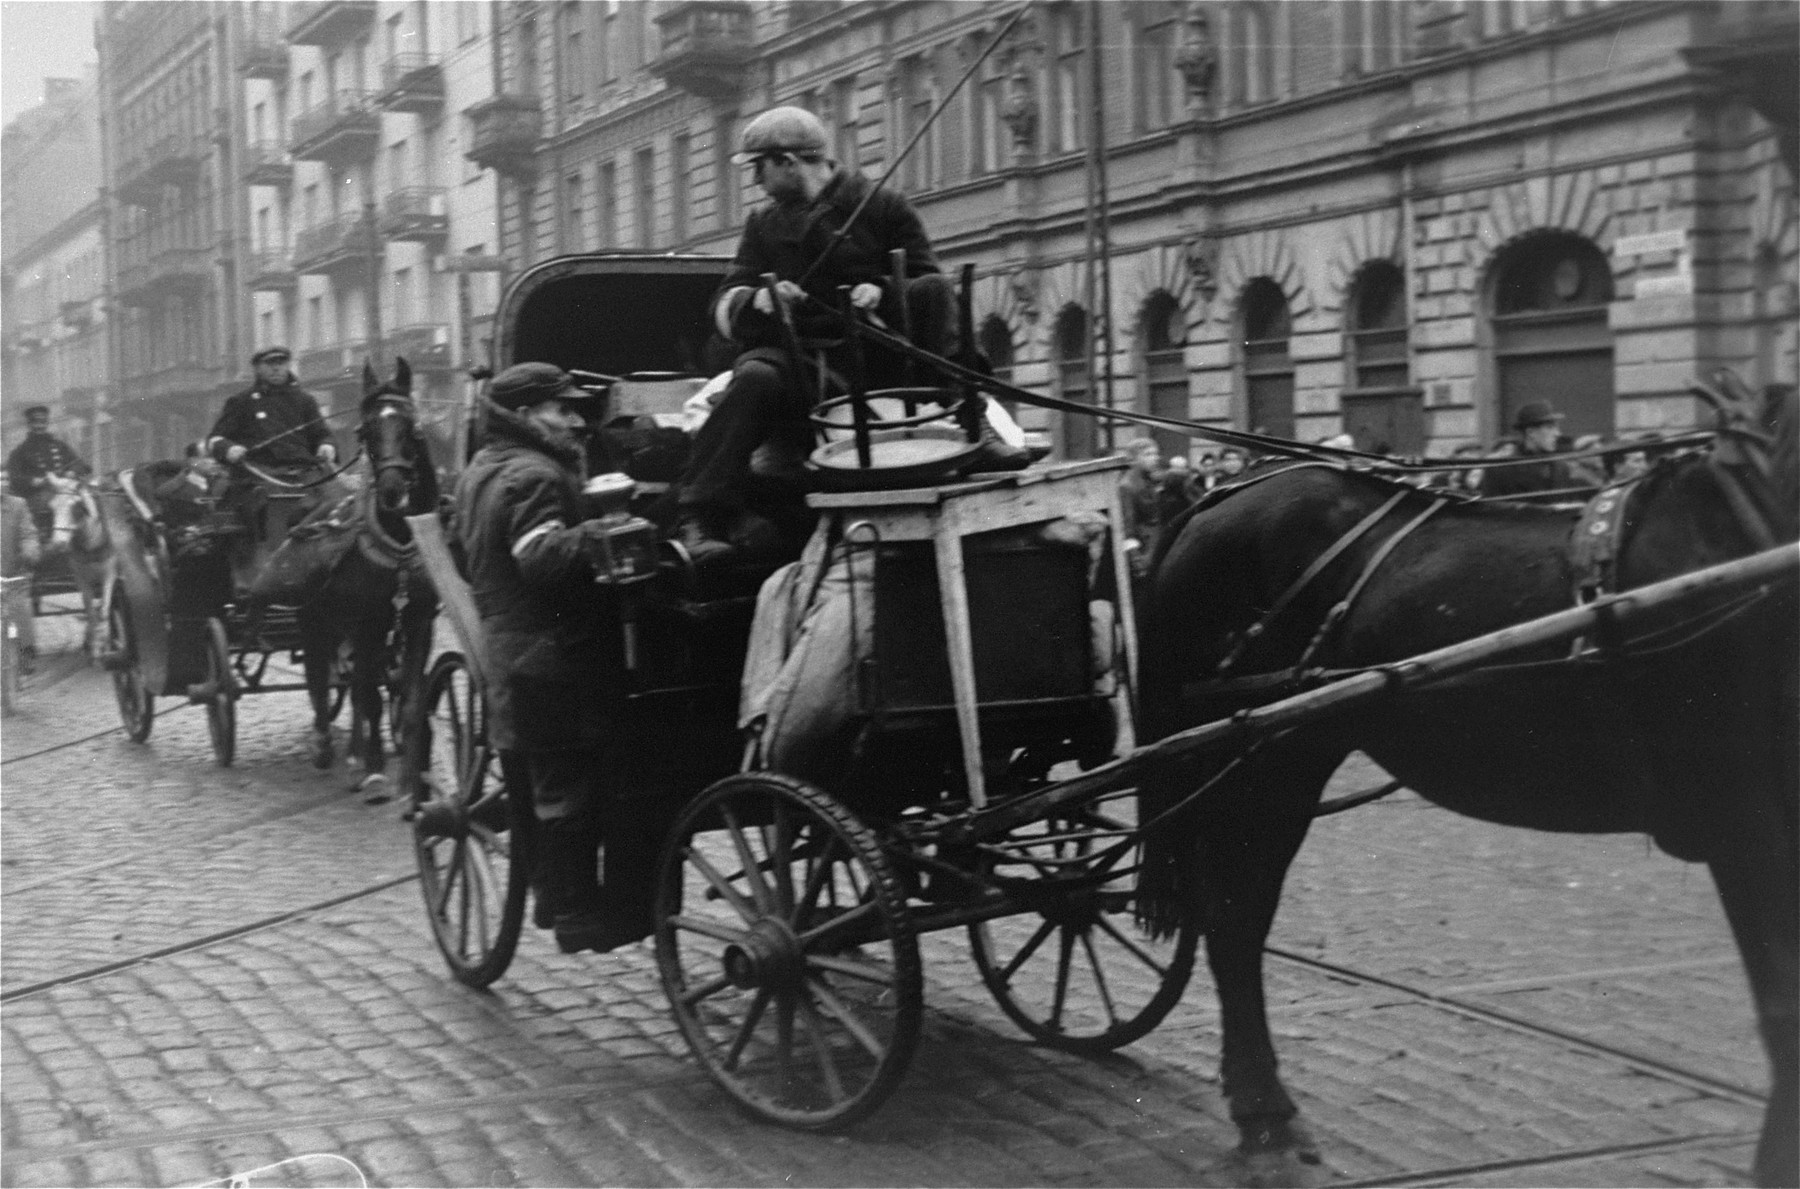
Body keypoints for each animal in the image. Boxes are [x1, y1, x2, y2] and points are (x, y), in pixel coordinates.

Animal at [1144, 384, 1792, 1180]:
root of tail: (1223, 494)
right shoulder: (1744, 819)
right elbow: (1782, 1007)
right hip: (1261, 764)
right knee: (1235, 920)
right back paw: (1266, 1113)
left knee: (1236, 915)